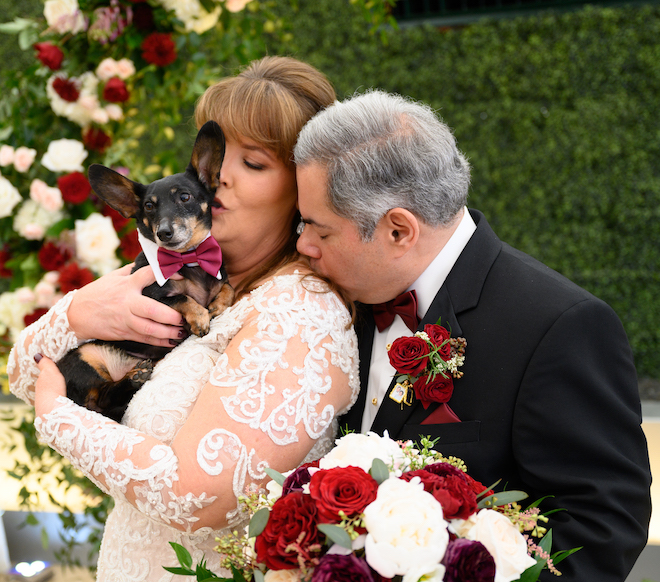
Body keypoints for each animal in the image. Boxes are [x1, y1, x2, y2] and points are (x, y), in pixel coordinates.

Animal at [57, 121, 235, 422]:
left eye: (185, 197)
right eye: (149, 207)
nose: (164, 232)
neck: (189, 260)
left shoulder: (219, 275)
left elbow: (228, 287)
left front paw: (217, 305)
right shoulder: (148, 297)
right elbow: (181, 297)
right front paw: (200, 317)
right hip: (86, 357)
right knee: (102, 395)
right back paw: (133, 377)